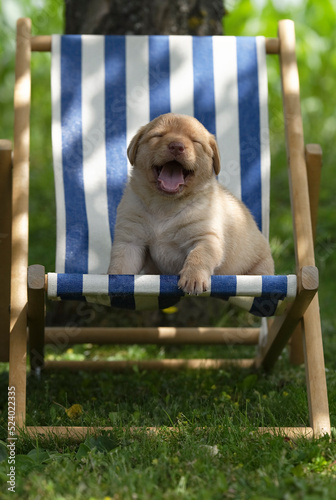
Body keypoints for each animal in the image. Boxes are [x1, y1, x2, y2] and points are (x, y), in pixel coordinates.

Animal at [107, 113, 272, 292]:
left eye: (195, 141)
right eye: (158, 135)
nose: (176, 146)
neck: (165, 205)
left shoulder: (206, 237)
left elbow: (199, 256)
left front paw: (194, 279)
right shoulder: (130, 240)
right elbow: (121, 265)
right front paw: (114, 281)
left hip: (261, 265)